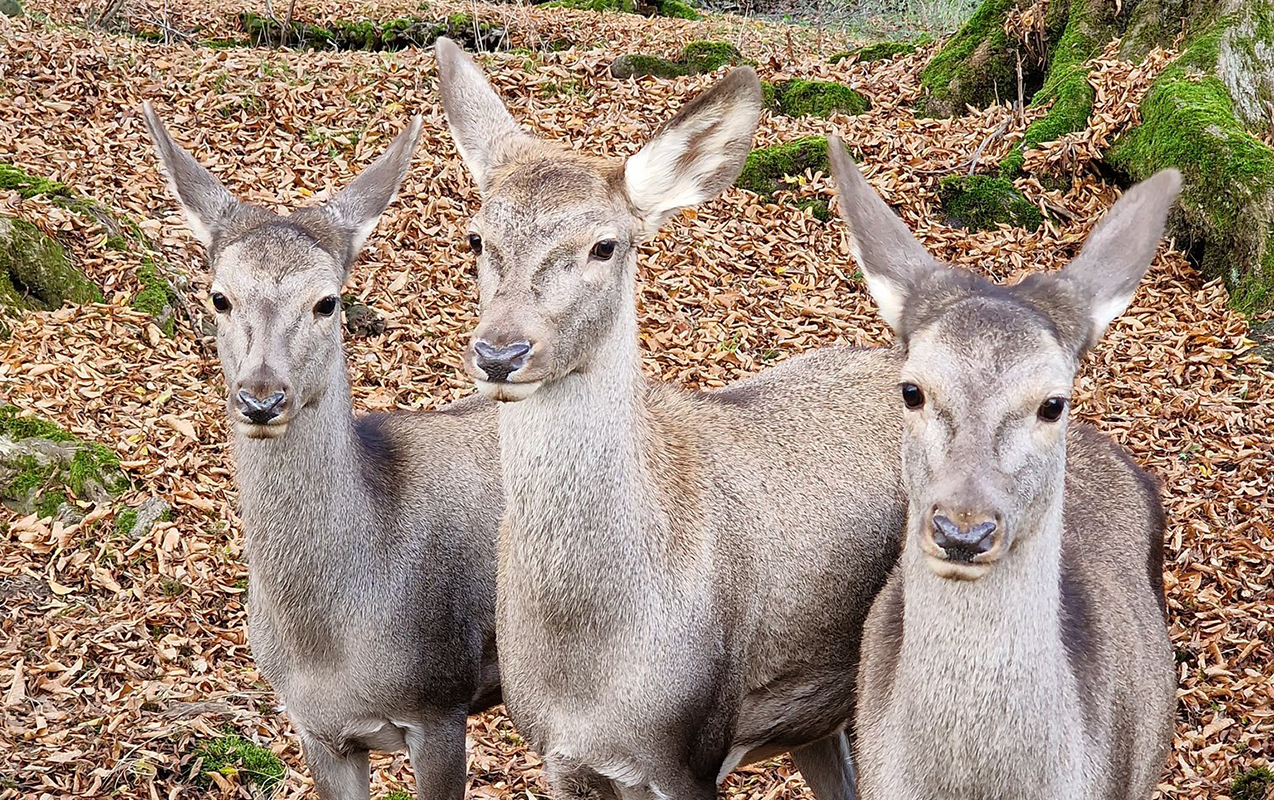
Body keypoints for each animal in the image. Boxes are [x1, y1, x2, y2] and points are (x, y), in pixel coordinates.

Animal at [434, 38, 907, 800]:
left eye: (605, 244)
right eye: (477, 238)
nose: (500, 351)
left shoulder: (691, 751)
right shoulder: (556, 754)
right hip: (814, 715)